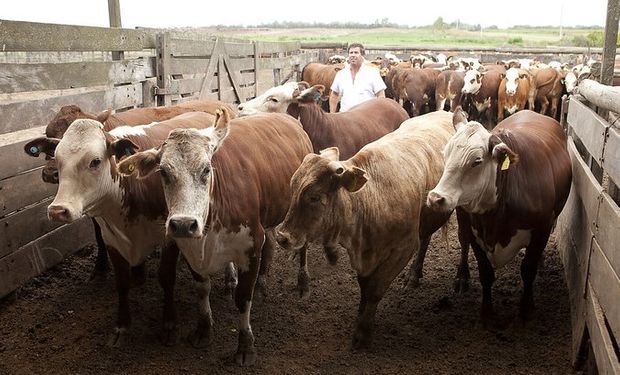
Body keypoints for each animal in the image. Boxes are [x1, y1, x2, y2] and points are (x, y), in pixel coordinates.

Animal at [23, 101, 232, 280]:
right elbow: (100, 237)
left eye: (95, 160)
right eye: (54, 150)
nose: (50, 173)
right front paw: (101, 268)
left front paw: (139, 272)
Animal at [36, 111, 217, 350]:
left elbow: (166, 277)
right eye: (57, 159)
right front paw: (121, 326)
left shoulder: (171, 234)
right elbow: (122, 282)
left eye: (95, 161)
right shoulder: (111, 239)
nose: (58, 210)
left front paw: (169, 324)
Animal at [115, 107, 312, 366]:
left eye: (206, 169)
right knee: (270, 246)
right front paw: (204, 329)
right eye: (163, 172)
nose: (183, 224)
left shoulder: (251, 246)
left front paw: (245, 346)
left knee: (304, 245)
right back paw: (261, 286)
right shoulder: (190, 249)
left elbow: (243, 298)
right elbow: (203, 289)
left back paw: (303, 283)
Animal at [278, 111, 458, 350]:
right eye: (292, 188)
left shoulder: (403, 248)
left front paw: (362, 334)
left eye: (314, 197)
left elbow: (374, 289)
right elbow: (364, 286)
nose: (282, 237)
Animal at [426, 108, 572, 326]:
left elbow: (528, 270)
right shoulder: (475, 231)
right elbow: (485, 273)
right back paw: (462, 277)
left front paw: (526, 309)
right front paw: (487, 313)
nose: (435, 198)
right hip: (462, 218)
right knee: (463, 241)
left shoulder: (543, 227)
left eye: (477, 161)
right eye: (445, 154)